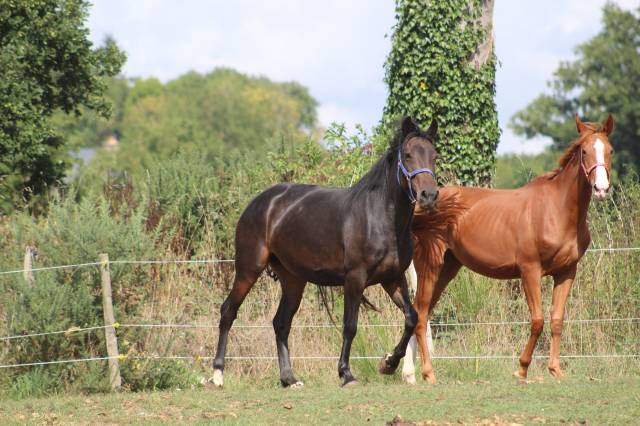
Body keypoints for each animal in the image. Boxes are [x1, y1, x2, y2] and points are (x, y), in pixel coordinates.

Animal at [211, 117, 440, 387]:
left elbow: (411, 317)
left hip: (293, 280)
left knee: (281, 323)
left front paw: (388, 363)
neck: (381, 218)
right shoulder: (355, 279)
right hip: (248, 269)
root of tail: (259, 203)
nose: (429, 195)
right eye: (407, 155)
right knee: (228, 311)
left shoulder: (393, 278)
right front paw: (346, 374)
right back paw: (217, 374)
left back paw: (289, 378)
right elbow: (350, 326)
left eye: (434, 156)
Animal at [401, 114, 615, 384]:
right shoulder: (530, 271)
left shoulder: (566, 273)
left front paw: (555, 369)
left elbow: (557, 320)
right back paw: (426, 373)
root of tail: (423, 202)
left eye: (610, 150)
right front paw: (521, 369)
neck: (556, 211)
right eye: (584, 151)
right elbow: (538, 320)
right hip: (429, 266)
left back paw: (407, 373)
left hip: (447, 268)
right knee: (419, 314)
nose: (601, 189)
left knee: (421, 311)